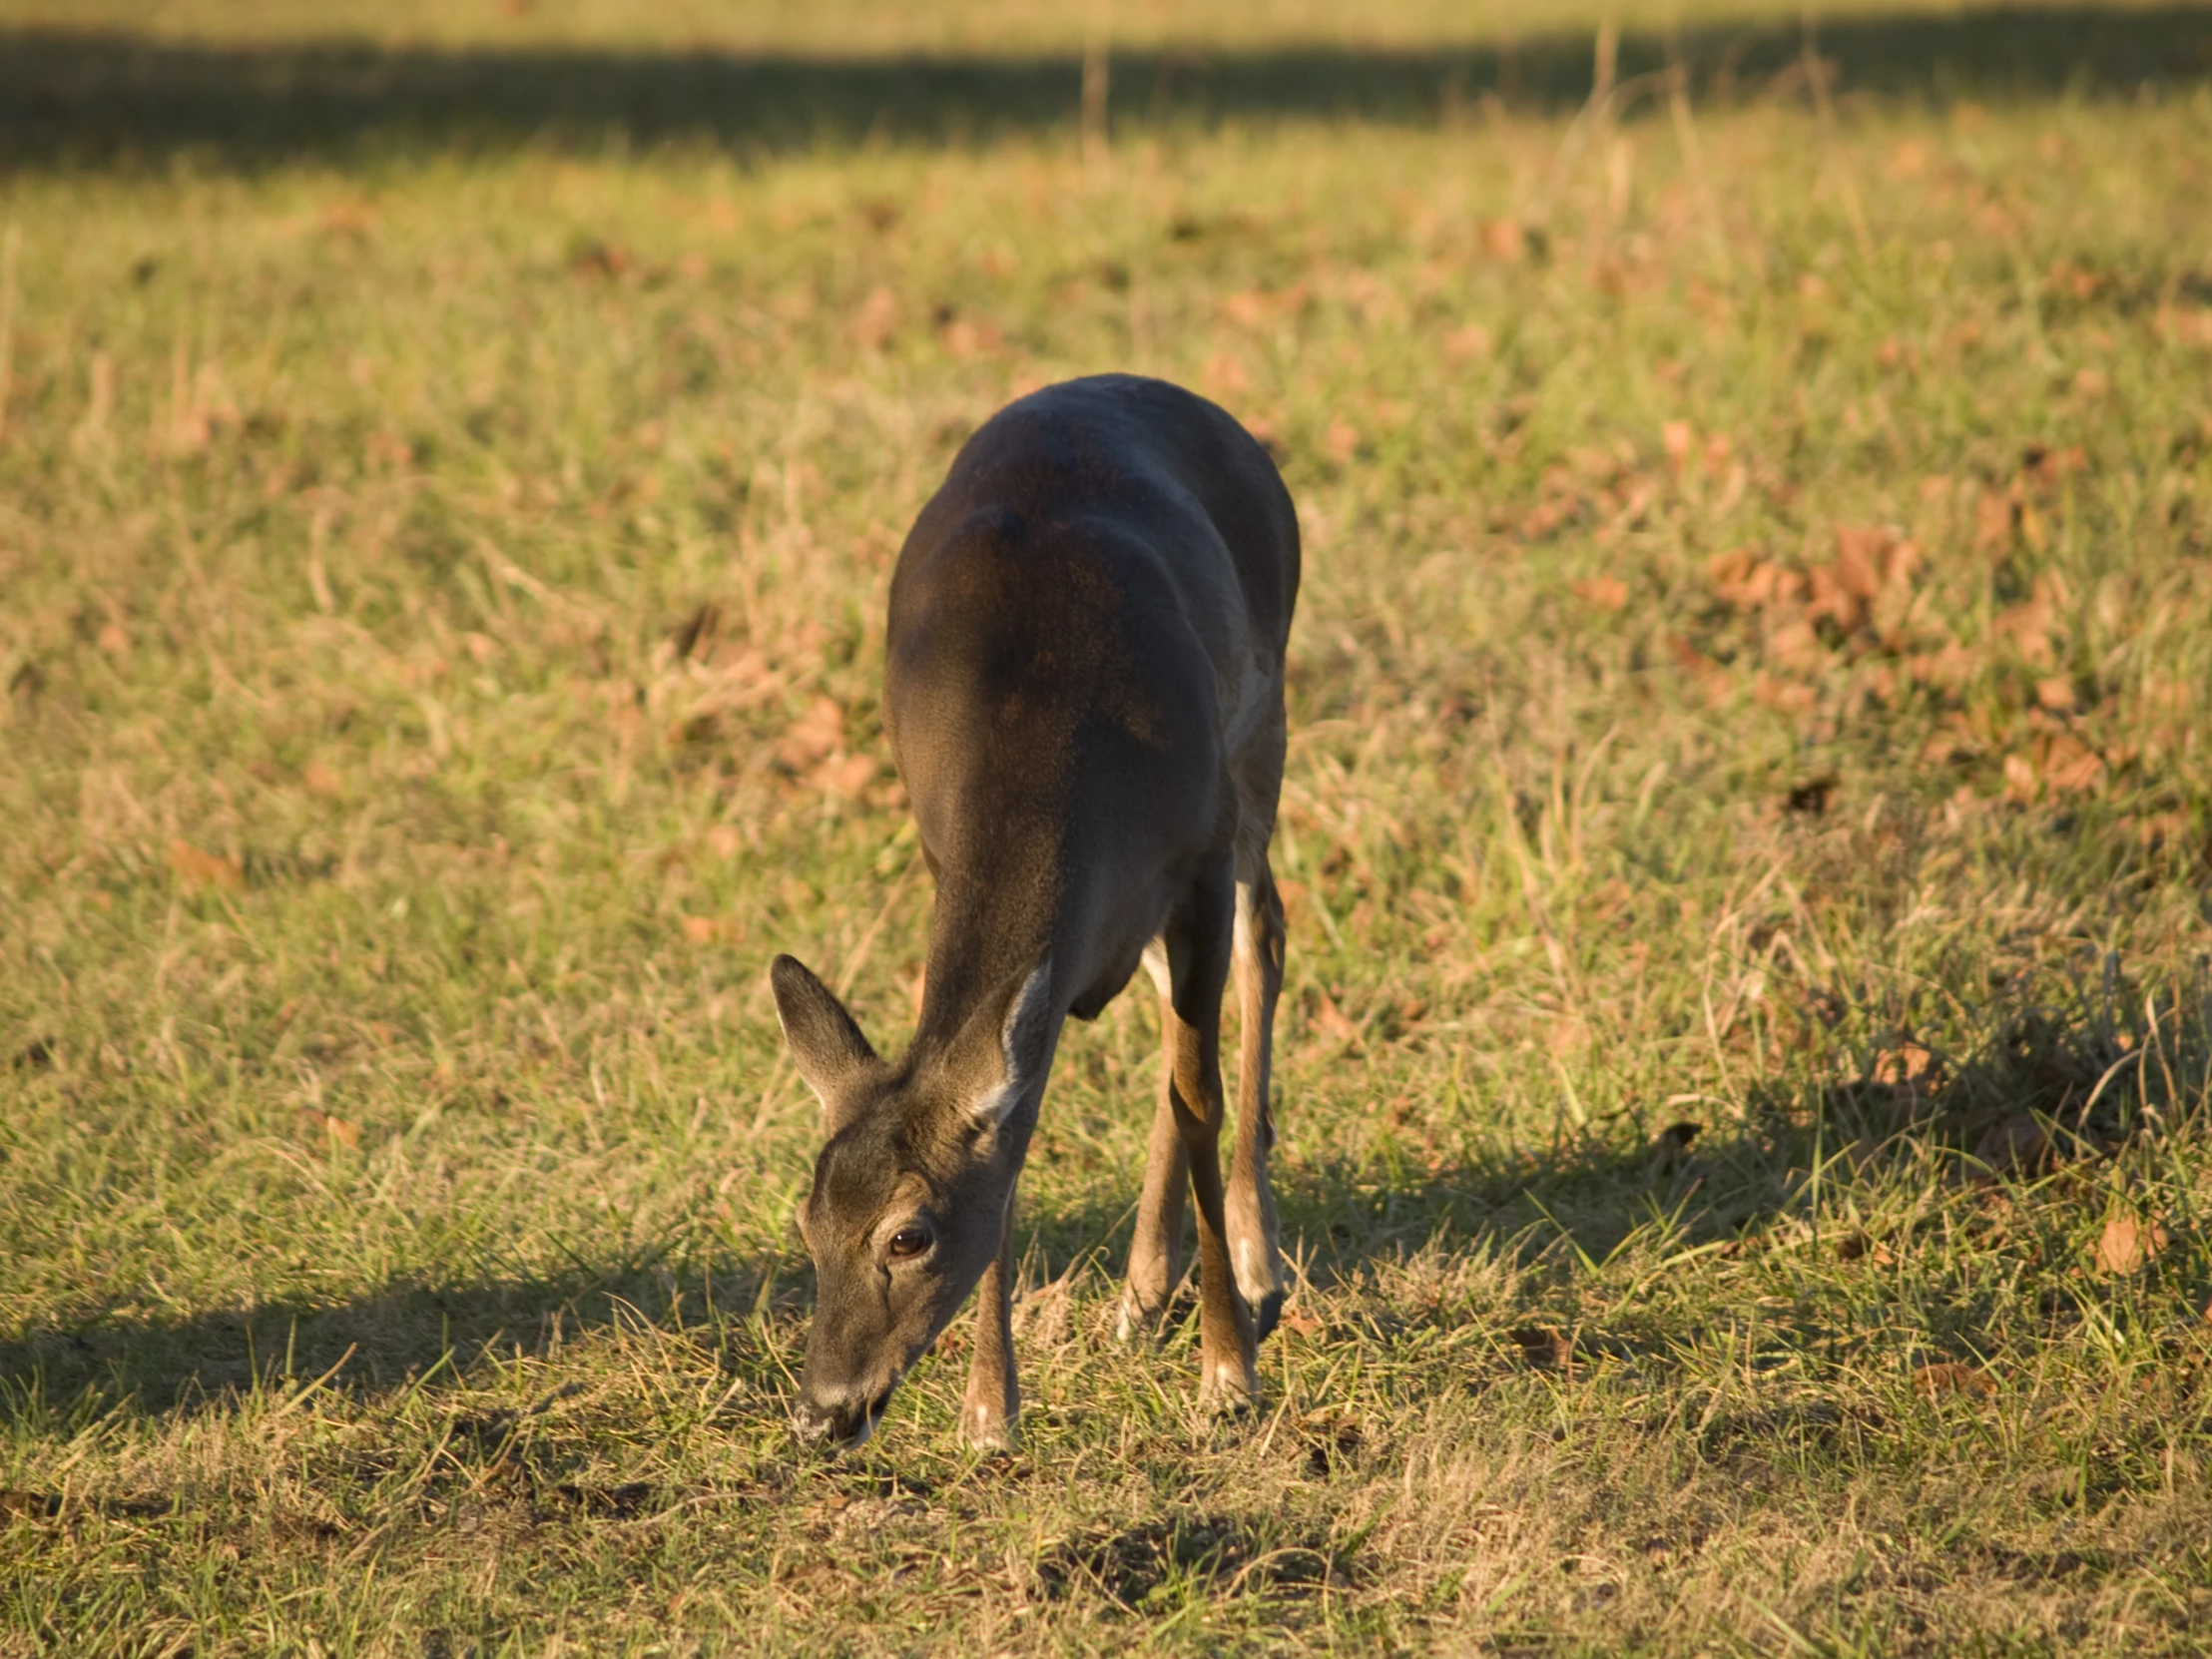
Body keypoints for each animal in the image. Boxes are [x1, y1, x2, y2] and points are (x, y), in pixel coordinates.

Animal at [774, 369, 1292, 1450]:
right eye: (807, 1223)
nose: (821, 1412)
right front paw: (988, 1411)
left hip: (1262, 723)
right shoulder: (952, 857)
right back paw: (1138, 1297)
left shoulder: (1197, 854)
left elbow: (1200, 1099)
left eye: (909, 1234)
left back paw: (1255, 1262)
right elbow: (1017, 1127)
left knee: (1267, 937)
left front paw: (1228, 1373)